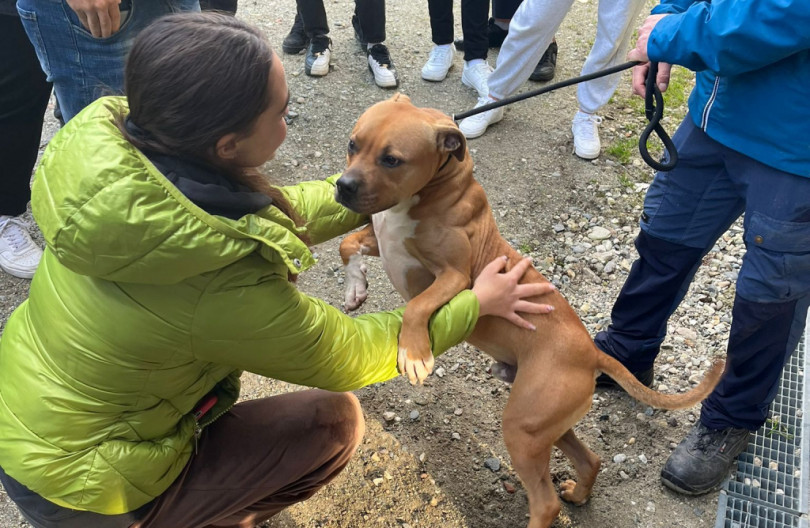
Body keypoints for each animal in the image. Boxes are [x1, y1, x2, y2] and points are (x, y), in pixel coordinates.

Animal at [332, 95, 720, 528]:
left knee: (545, 503)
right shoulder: (382, 240)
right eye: (352, 144)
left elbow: (417, 304)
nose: (342, 186)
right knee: (590, 460)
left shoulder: (454, 276)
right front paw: (355, 288)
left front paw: (414, 353)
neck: (431, 191)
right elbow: (347, 244)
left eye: (392, 160)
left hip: (522, 429)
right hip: (546, 424)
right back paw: (579, 493)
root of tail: (592, 353)